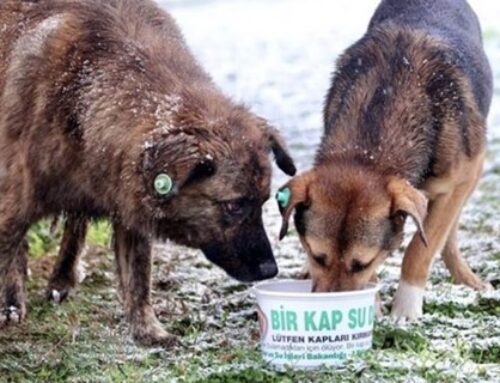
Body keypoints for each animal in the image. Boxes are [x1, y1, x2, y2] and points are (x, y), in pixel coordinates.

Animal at [0, 0, 294, 346]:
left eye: (263, 203)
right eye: (234, 205)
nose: (270, 270)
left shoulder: (128, 202)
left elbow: (138, 278)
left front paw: (148, 331)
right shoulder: (14, 200)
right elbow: (8, 252)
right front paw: (8, 303)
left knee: (76, 225)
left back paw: (63, 277)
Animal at [278, 0, 492, 322]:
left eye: (361, 263)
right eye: (317, 256)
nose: (333, 312)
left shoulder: (461, 179)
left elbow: (420, 249)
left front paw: (405, 307)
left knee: (449, 233)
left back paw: (466, 277)